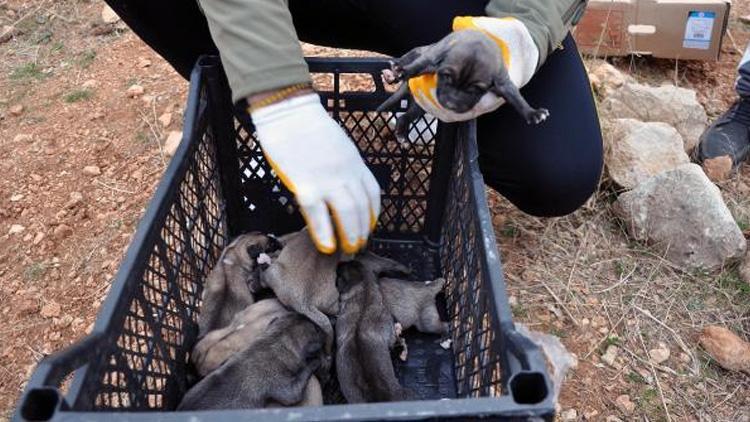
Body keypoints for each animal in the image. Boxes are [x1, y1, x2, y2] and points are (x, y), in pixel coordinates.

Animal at [378, 29, 548, 140]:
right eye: (446, 77)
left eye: (475, 90)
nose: (451, 105)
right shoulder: (432, 58)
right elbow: (418, 66)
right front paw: (403, 71)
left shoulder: (503, 81)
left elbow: (516, 97)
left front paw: (532, 112)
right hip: (419, 52)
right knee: (409, 57)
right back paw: (393, 73)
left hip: (421, 106)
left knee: (405, 116)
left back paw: (401, 133)